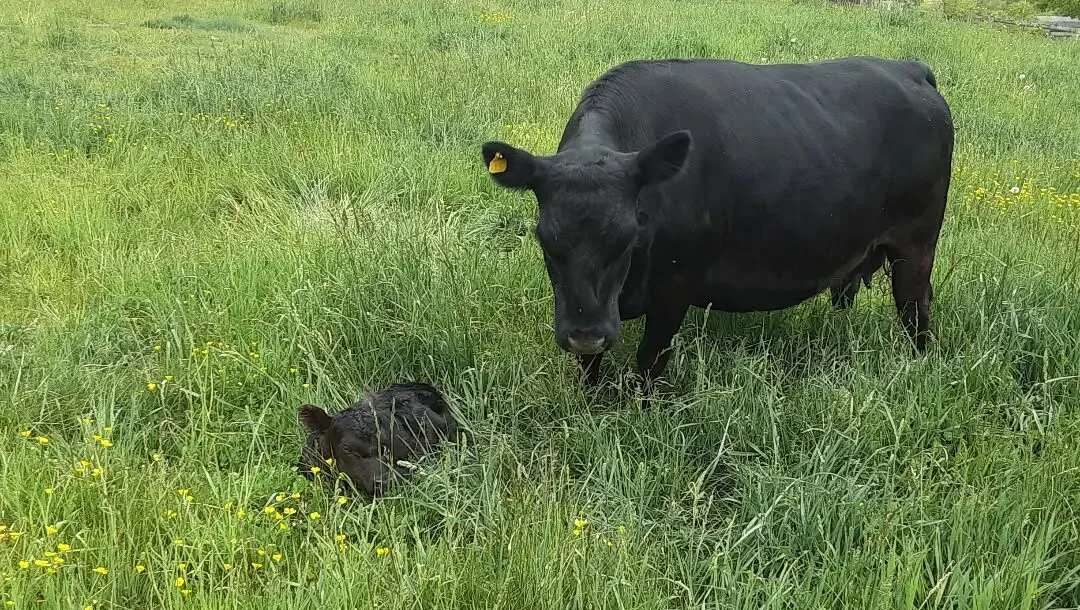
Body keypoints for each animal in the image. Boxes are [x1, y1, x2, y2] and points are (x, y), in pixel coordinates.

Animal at [480, 56, 954, 399]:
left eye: (628, 237)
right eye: (546, 239)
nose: (586, 336)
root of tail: (908, 68)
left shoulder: (674, 289)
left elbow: (649, 362)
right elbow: (591, 368)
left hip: (916, 245)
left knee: (915, 309)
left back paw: (919, 363)